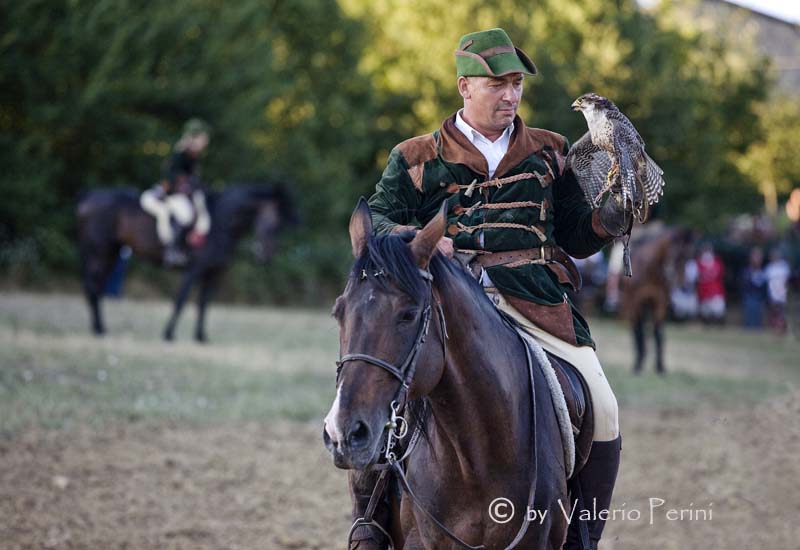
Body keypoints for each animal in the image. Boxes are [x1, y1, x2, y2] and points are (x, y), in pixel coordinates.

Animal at [77, 183, 296, 342]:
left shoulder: (215, 273)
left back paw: (100, 327)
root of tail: (88, 197)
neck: (220, 223)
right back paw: (98, 329)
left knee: (95, 287)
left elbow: (204, 303)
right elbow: (181, 300)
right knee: (93, 286)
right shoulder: (193, 270)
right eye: (274, 225)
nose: (266, 256)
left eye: (282, 227)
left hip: (110, 254)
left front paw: (201, 337)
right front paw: (168, 334)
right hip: (100, 252)